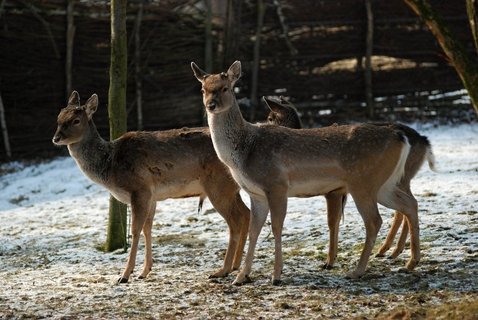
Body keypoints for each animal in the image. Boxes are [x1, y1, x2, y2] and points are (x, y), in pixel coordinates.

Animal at [264, 96, 436, 264]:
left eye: (270, 118)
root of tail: (425, 141)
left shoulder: (333, 191)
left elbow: (332, 221)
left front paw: (329, 261)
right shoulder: (341, 191)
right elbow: (337, 219)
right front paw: (333, 256)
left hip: (400, 177)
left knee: (404, 206)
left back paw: (391, 252)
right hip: (398, 179)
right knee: (407, 205)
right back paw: (391, 251)